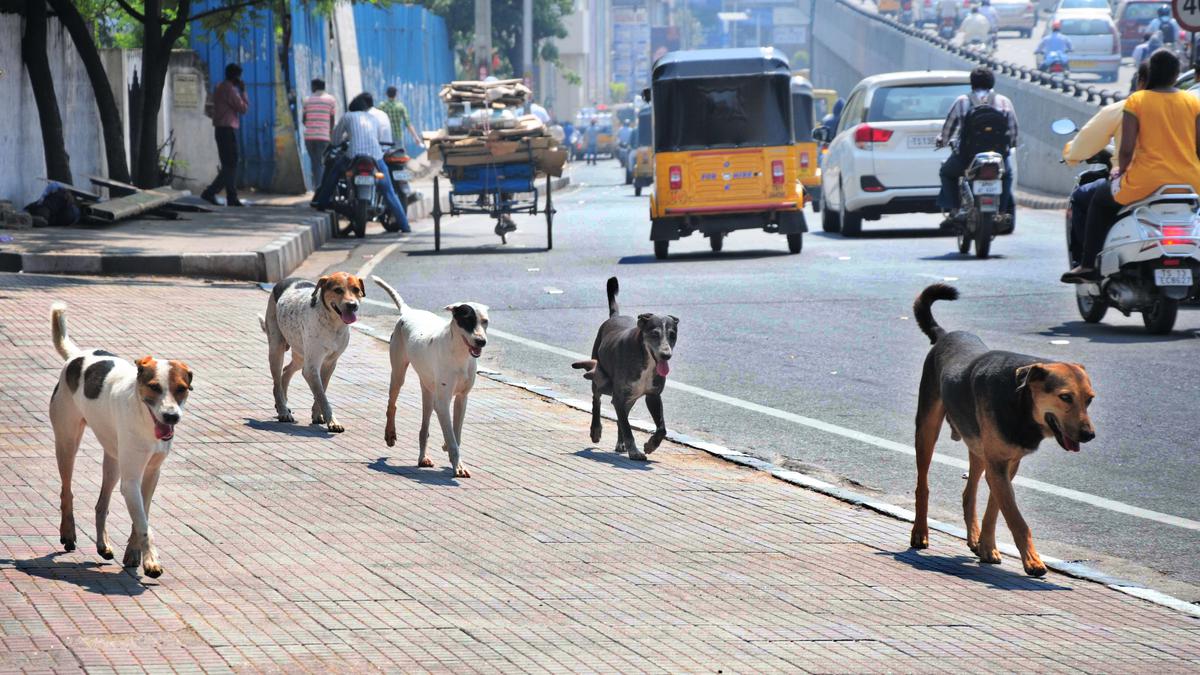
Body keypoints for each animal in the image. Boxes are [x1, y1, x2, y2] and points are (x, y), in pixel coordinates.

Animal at [46, 302, 192, 576]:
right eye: (154, 387)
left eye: (181, 389)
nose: (172, 417)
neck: (146, 420)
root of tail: (76, 356)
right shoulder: (131, 478)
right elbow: (144, 524)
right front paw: (151, 560)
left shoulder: (151, 473)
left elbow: (142, 516)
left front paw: (135, 553)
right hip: (67, 443)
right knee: (66, 491)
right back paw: (68, 533)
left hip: (113, 460)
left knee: (101, 504)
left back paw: (103, 544)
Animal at [258, 269, 360, 429]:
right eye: (338, 290)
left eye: (356, 289)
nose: (352, 305)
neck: (333, 324)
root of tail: (283, 281)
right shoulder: (311, 367)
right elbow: (322, 396)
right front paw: (332, 420)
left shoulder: (330, 364)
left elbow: (322, 390)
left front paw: (317, 415)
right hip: (276, 349)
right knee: (276, 382)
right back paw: (283, 410)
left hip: (301, 354)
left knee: (286, 372)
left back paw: (283, 404)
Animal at [372, 276, 489, 475]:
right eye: (467, 320)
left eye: (485, 321)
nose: (481, 341)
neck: (459, 354)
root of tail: (408, 312)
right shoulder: (443, 402)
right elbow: (451, 437)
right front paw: (458, 465)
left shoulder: (462, 398)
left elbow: (456, 433)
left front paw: (449, 450)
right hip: (398, 373)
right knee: (392, 404)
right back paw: (390, 434)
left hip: (427, 390)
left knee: (424, 428)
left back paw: (422, 457)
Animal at [571, 276, 676, 458]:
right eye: (654, 333)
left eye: (672, 335)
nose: (666, 355)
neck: (646, 359)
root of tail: (615, 316)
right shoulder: (619, 395)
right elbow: (627, 427)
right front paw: (634, 451)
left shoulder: (653, 395)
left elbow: (661, 428)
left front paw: (650, 445)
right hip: (602, 377)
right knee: (597, 398)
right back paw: (596, 430)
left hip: (630, 396)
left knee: (623, 414)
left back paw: (620, 443)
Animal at [907, 282, 1099, 571]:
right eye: (1065, 397)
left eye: (1089, 399)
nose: (1089, 435)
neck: (1021, 403)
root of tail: (944, 336)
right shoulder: (997, 465)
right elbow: (1017, 519)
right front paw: (1032, 560)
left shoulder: (1008, 465)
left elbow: (994, 510)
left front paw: (987, 546)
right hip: (927, 428)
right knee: (923, 484)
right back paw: (920, 532)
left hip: (976, 445)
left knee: (969, 493)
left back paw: (973, 538)